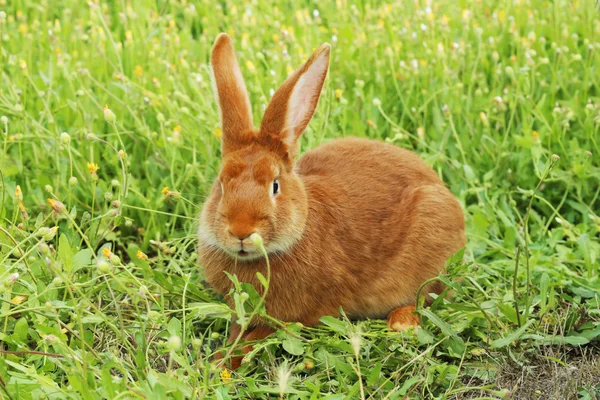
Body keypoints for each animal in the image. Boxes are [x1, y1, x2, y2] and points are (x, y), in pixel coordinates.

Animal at [199, 34, 466, 368]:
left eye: (275, 185)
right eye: (220, 185)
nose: (241, 231)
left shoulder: (301, 314)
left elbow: (260, 336)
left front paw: (224, 362)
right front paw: (217, 360)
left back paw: (401, 322)